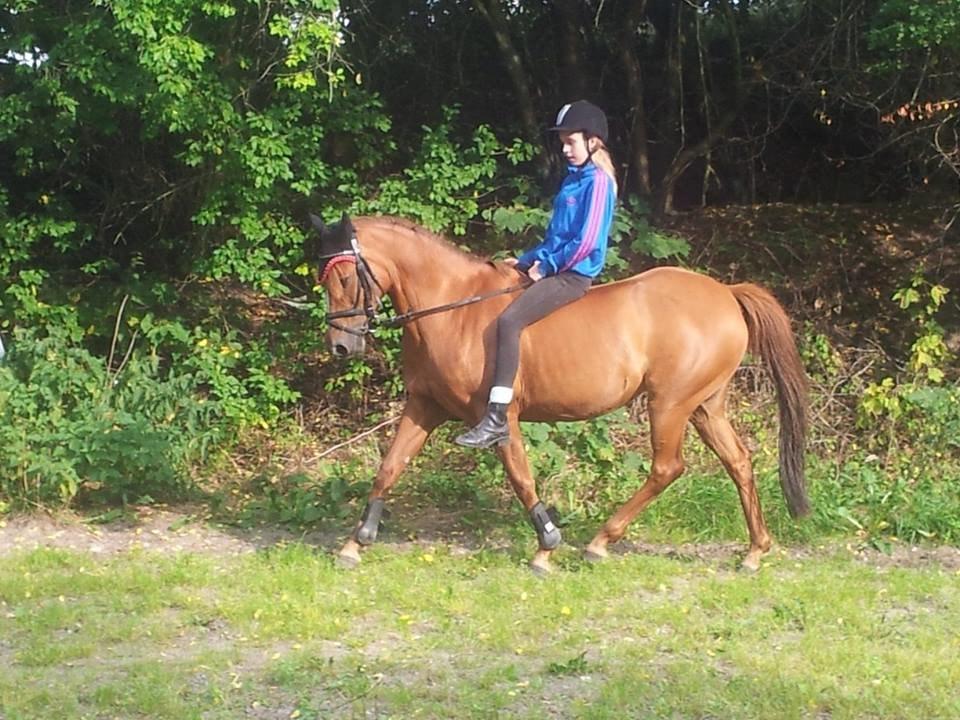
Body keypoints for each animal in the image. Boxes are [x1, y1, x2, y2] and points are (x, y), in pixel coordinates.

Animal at [310, 213, 809, 574]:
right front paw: (355, 543)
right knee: (738, 461)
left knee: (668, 467)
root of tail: (725, 292)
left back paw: (600, 543)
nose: (340, 346)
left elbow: (521, 478)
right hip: (705, 405)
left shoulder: (500, 417)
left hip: (669, 403)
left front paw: (546, 547)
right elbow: (389, 467)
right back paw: (755, 551)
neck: (452, 309)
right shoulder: (425, 406)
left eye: (345, 278)